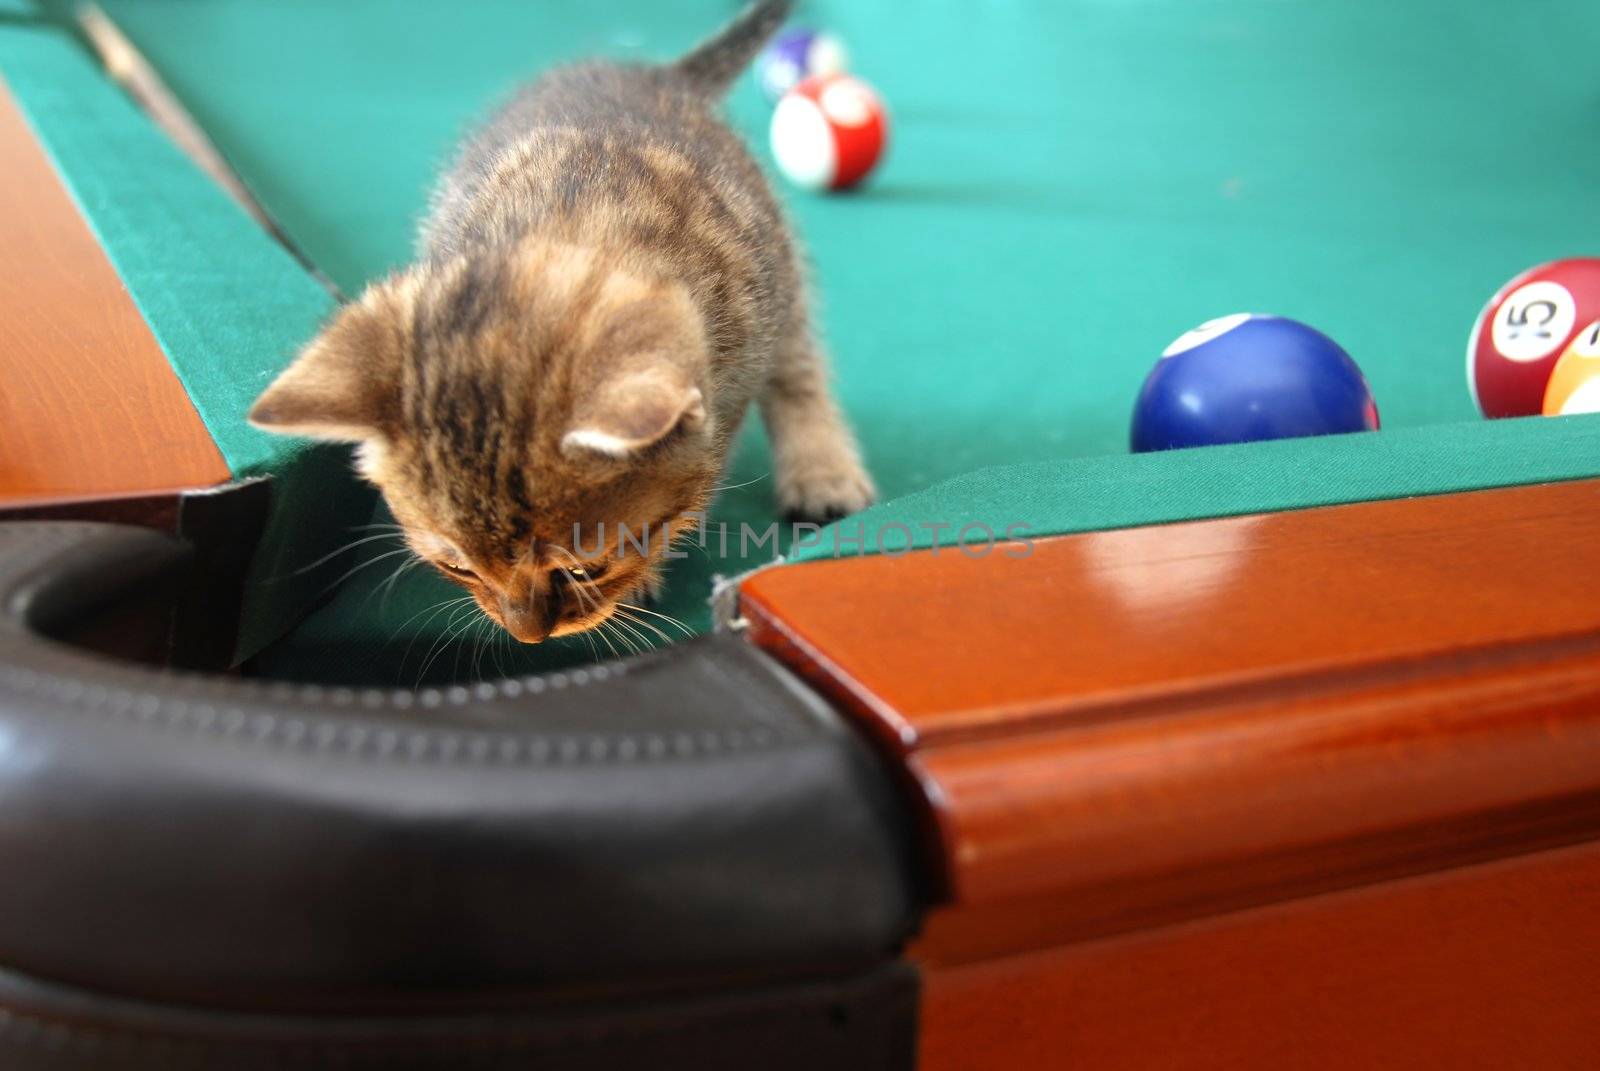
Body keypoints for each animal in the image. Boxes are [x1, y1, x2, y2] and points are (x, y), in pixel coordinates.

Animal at [249, 0, 876, 640]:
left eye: (584, 568)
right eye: (458, 567)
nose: (526, 633)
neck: (576, 225)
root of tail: (653, 72)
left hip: (779, 262)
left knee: (798, 364)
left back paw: (821, 468)